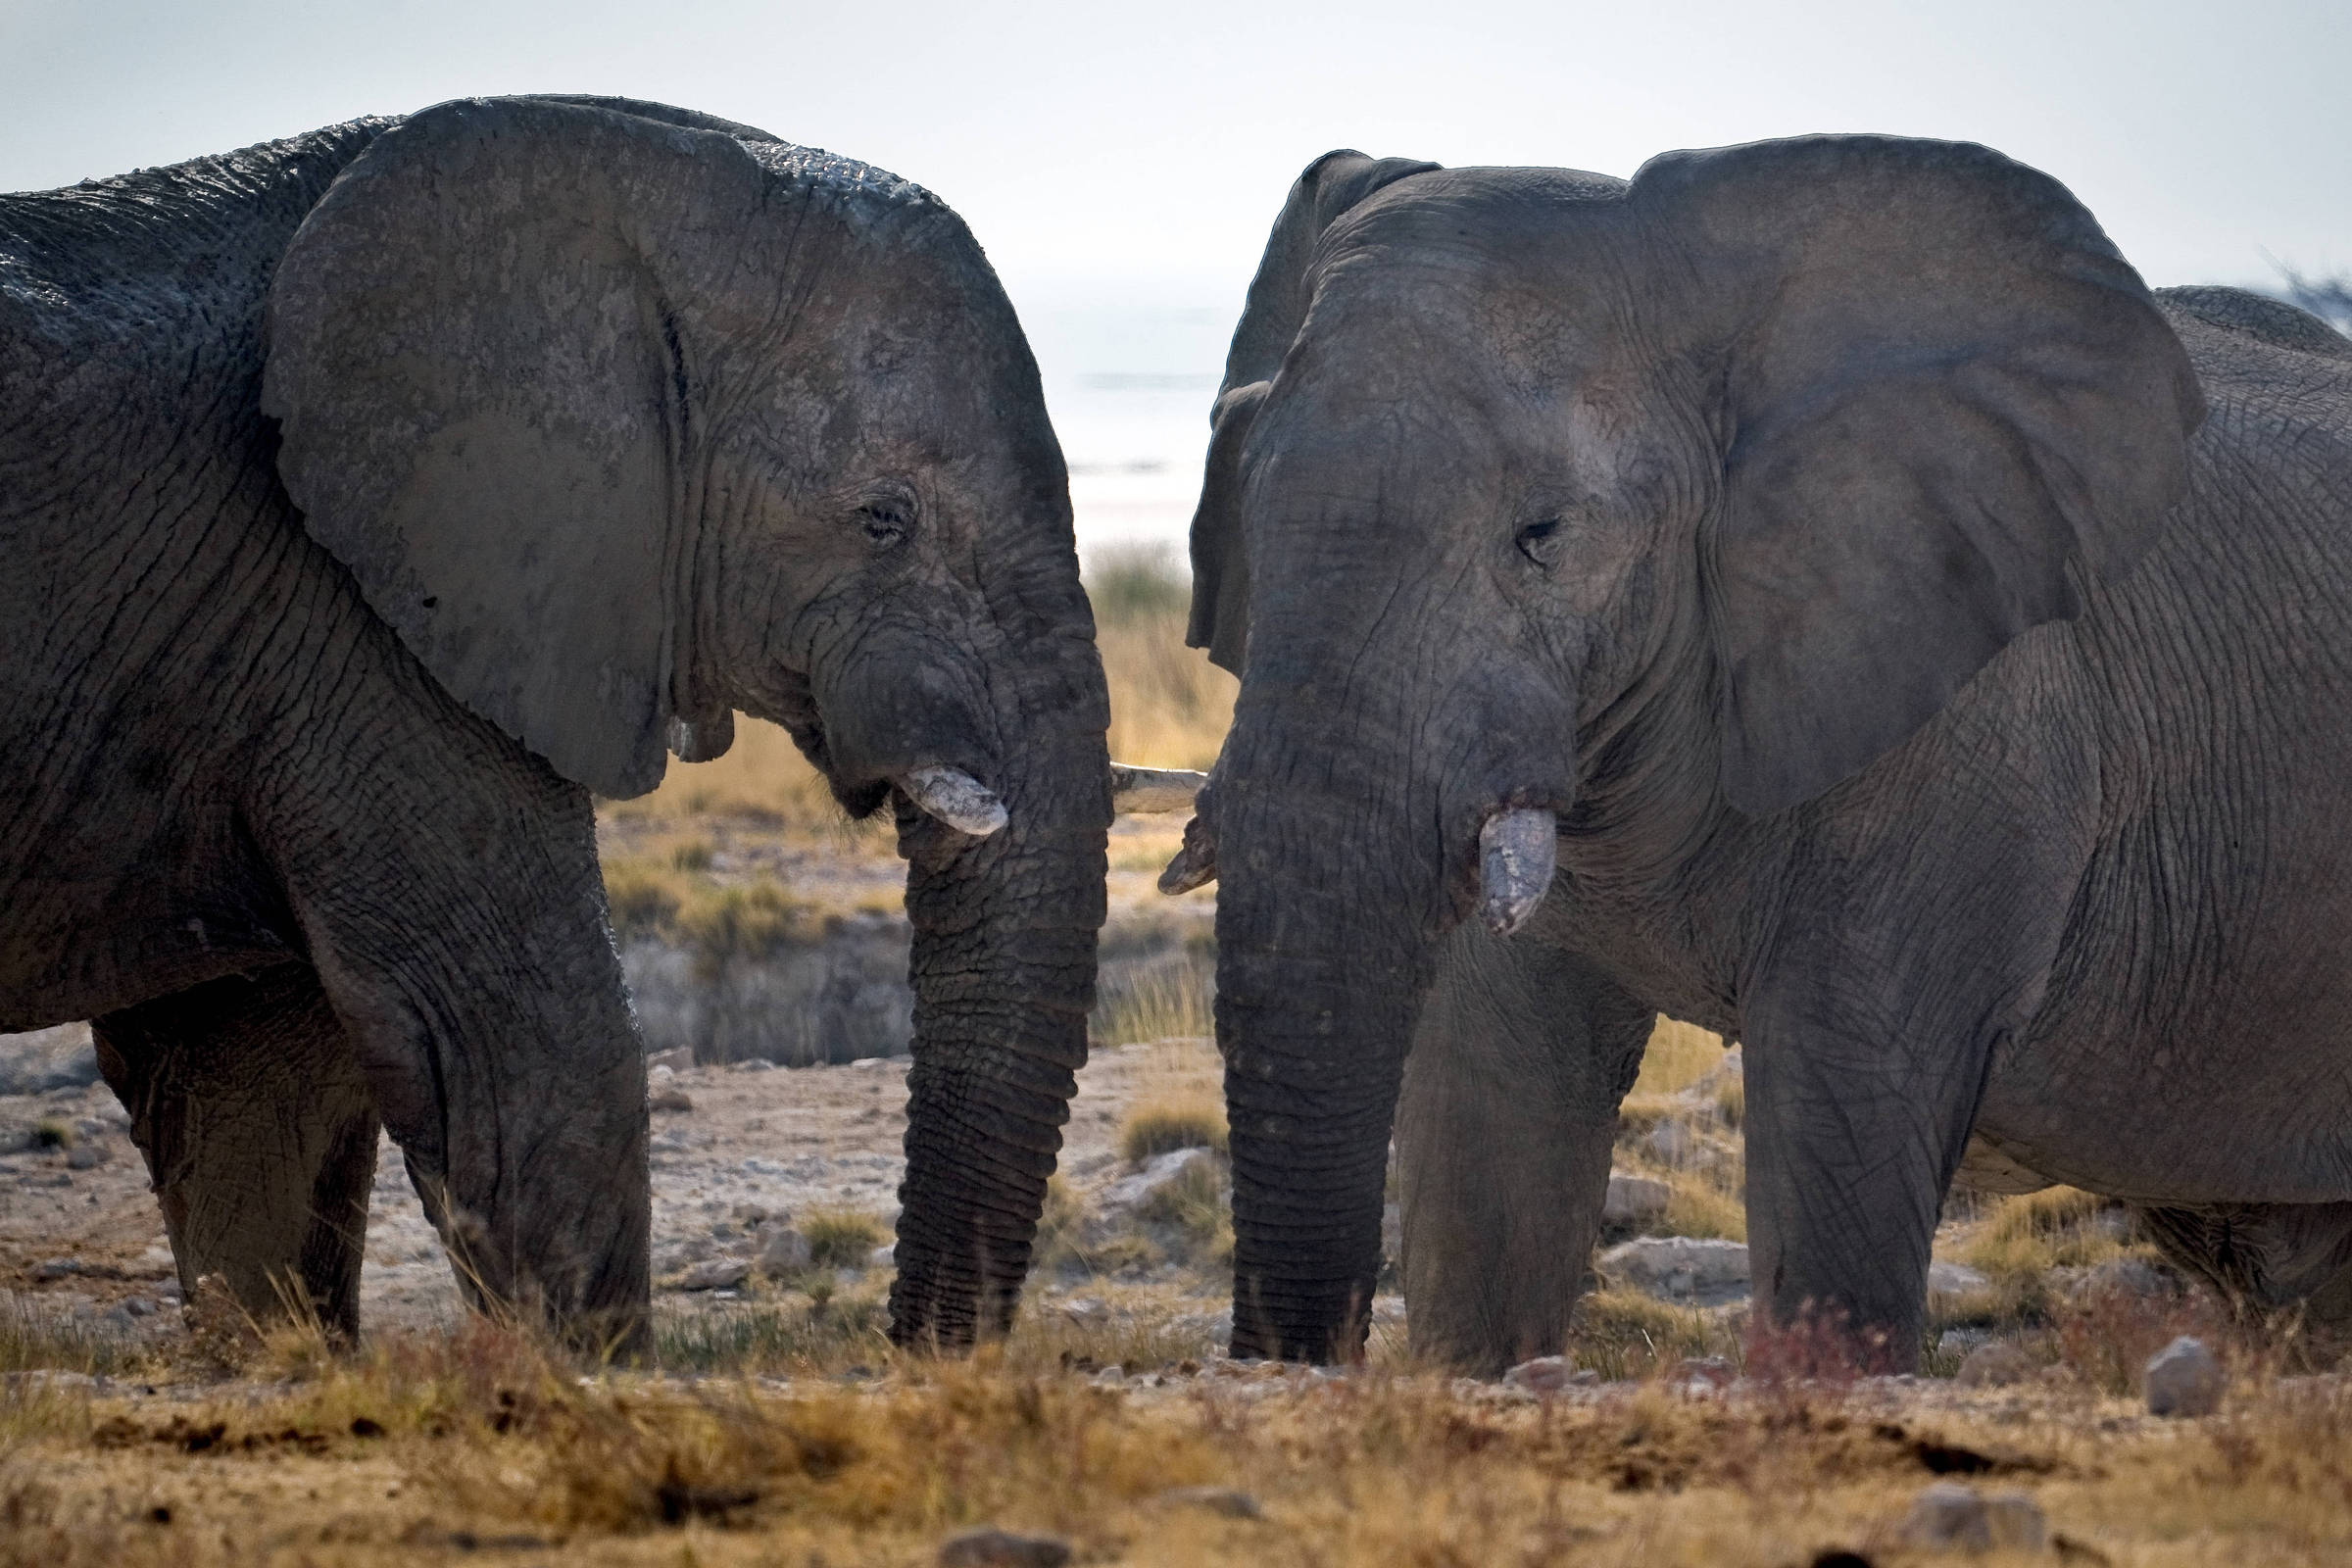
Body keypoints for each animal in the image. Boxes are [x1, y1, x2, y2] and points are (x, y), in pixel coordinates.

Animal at [1171, 140, 2352, 1382]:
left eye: (1543, 535)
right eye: (1243, 507)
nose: (1287, 1362)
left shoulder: (1974, 723)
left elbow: (1846, 1116)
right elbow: (1494, 1109)